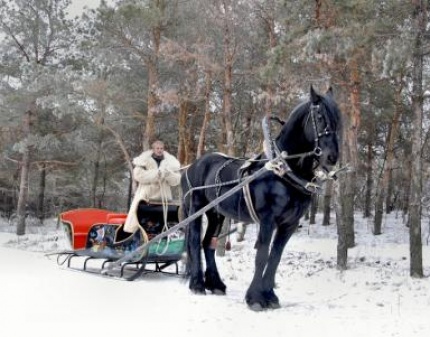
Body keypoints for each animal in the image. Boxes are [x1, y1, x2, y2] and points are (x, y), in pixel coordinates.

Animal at [181, 86, 342, 310]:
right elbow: (262, 255)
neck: (283, 170)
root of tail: (192, 166)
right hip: (196, 209)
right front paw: (256, 298)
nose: (332, 157)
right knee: (195, 242)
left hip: (216, 214)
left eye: (337, 120)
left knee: (208, 244)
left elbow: (275, 257)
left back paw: (216, 284)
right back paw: (197, 284)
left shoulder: (289, 223)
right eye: (319, 116)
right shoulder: (268, 219)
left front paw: (270, 296)